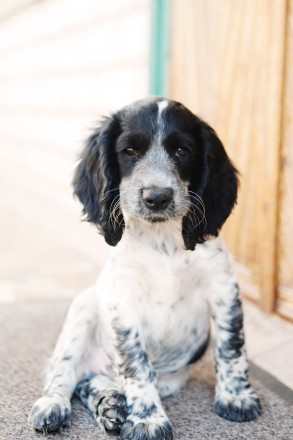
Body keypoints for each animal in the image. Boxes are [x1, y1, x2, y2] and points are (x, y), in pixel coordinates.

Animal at [28, 99, 258, 440]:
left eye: (182, 151)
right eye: (129, 151)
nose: (157, 197)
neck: (163, 242)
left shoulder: (223, 287)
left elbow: (231, 346)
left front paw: (236, 397)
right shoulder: (123, 303)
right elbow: (137, 365)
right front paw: (148, 420)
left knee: (89, 380)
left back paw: (110, 405)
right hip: (82, 310)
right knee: (65, 373)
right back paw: (55, 405)